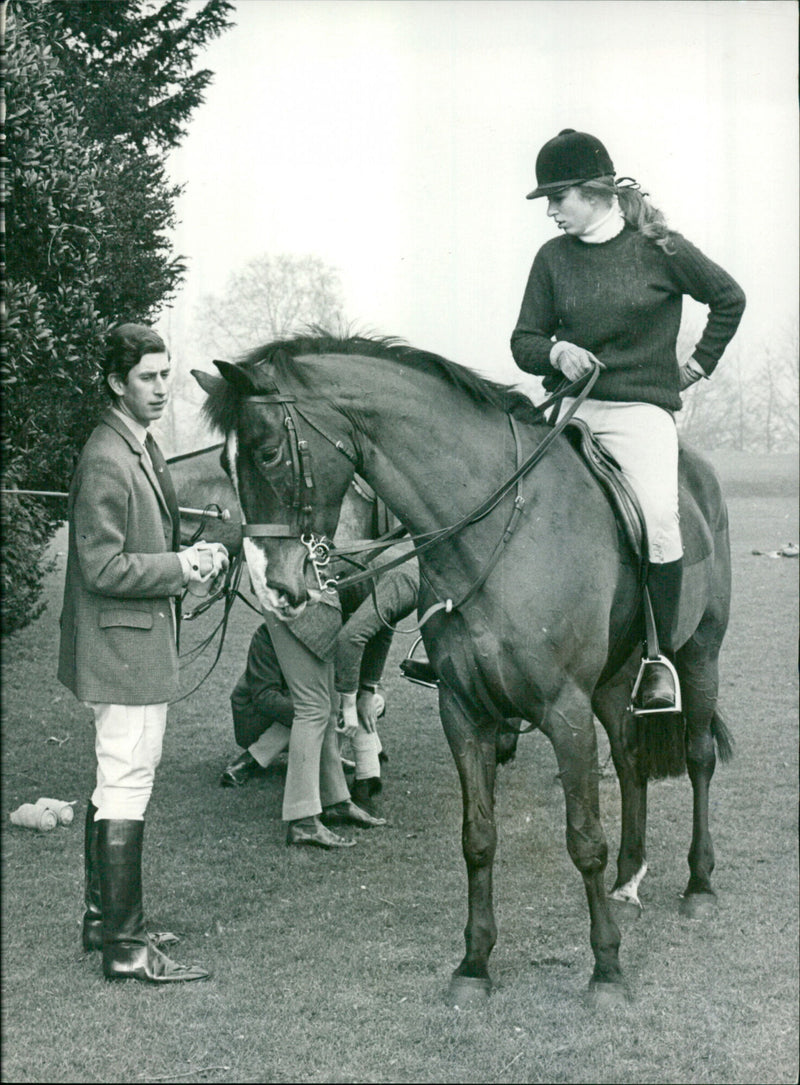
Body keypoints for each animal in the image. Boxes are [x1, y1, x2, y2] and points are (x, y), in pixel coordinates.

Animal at [192, 332, 729, 1006]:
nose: (272, 589)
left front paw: (606, 969)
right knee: (631, 764)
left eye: (266, 453)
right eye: (226, 464)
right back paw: (629, 881)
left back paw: (699, 885)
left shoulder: (565, 712)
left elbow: (584, 840)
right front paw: (474, 963)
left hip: (701, 653)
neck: (500, 529)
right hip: (614, 678)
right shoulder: (465, 711)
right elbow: (477, 838)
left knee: (699, 759)